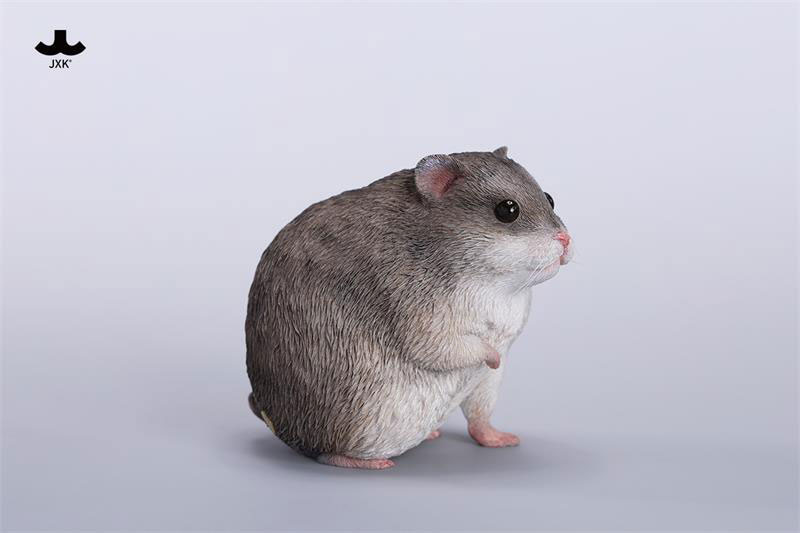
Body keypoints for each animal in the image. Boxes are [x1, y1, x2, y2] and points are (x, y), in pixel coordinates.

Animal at [245, 147, 573, 469]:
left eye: (549, 198)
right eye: (507, 210)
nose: (566, 240)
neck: (496, 286)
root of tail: (273, 419)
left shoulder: (490, 373)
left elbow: (480, 416)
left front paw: (502, 437)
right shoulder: (419, 315)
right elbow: (450, 349)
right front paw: (490, 356)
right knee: (324, 453)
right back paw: (370, 463)